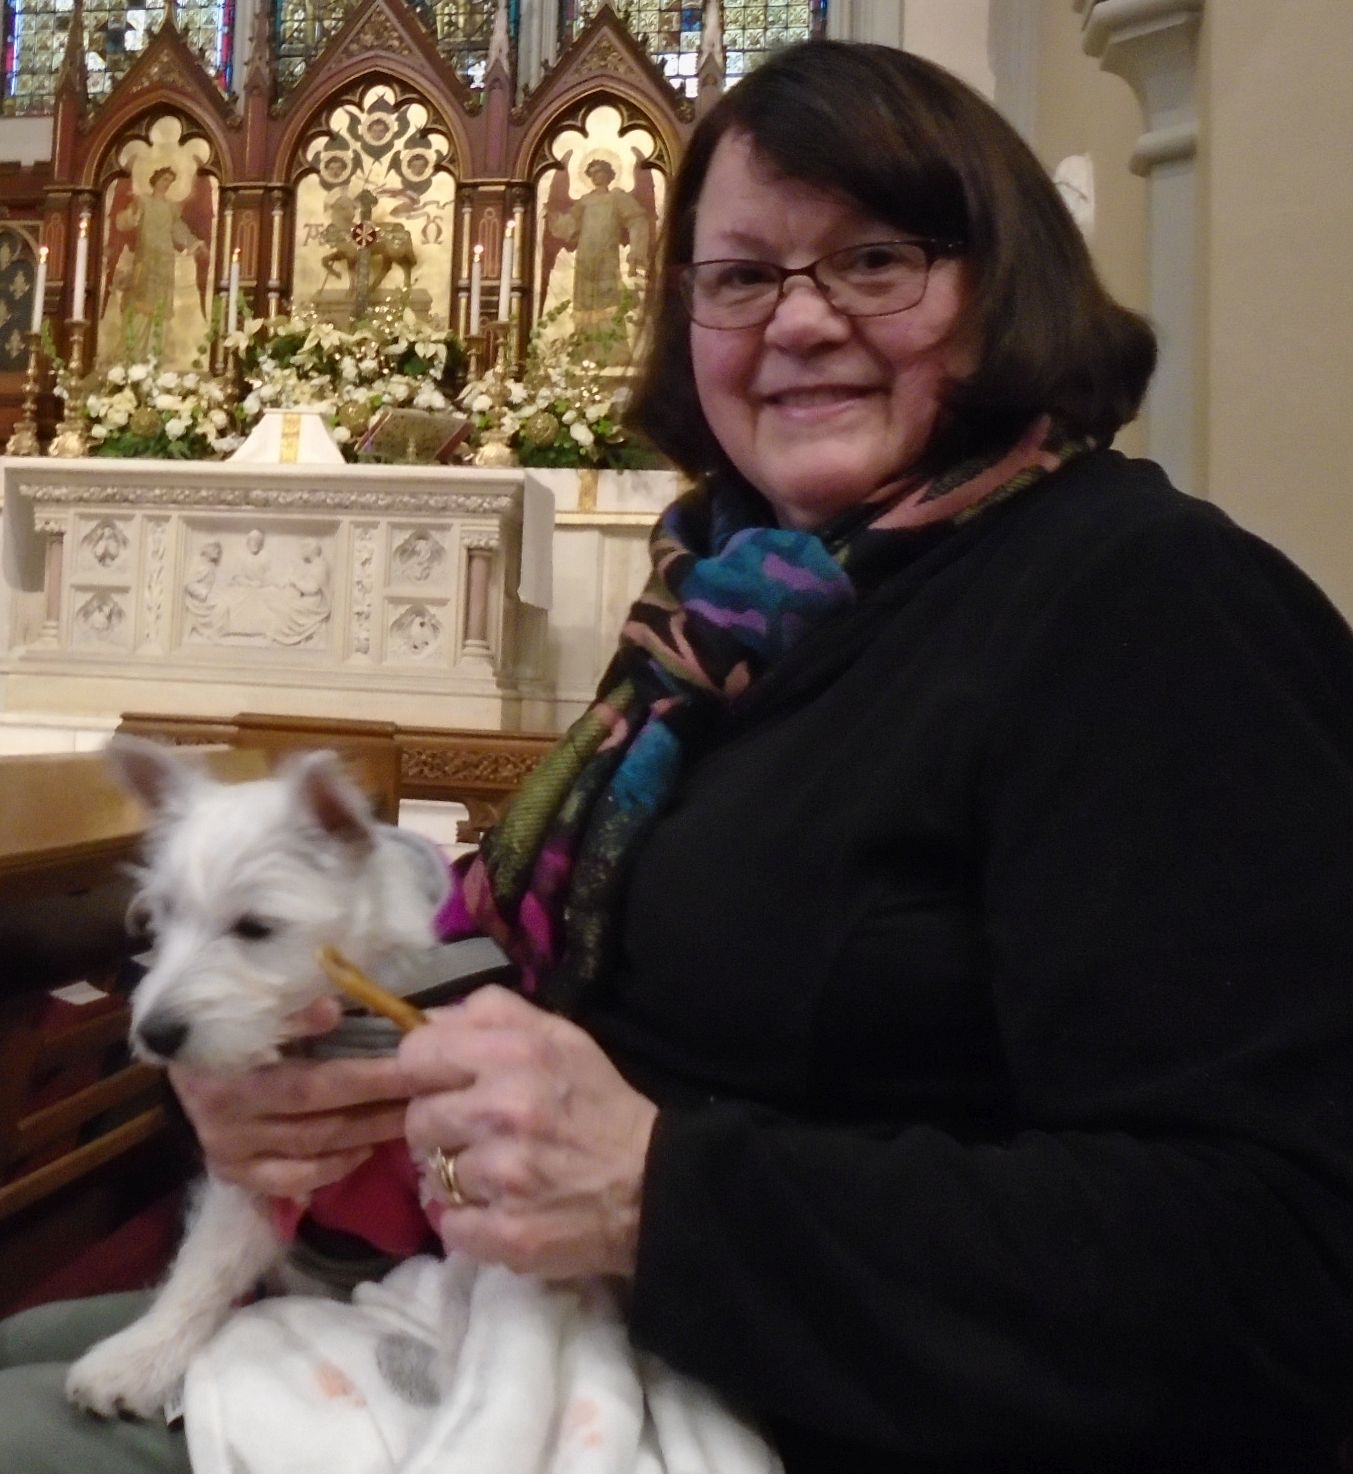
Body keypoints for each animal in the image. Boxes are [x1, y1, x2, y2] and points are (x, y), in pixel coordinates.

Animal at [66, 737, 451, 1415]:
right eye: (160, 918)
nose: (155, 1035)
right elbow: (206, 1267)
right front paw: (137, 1360)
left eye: (254, 927)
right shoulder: (264, 1180)